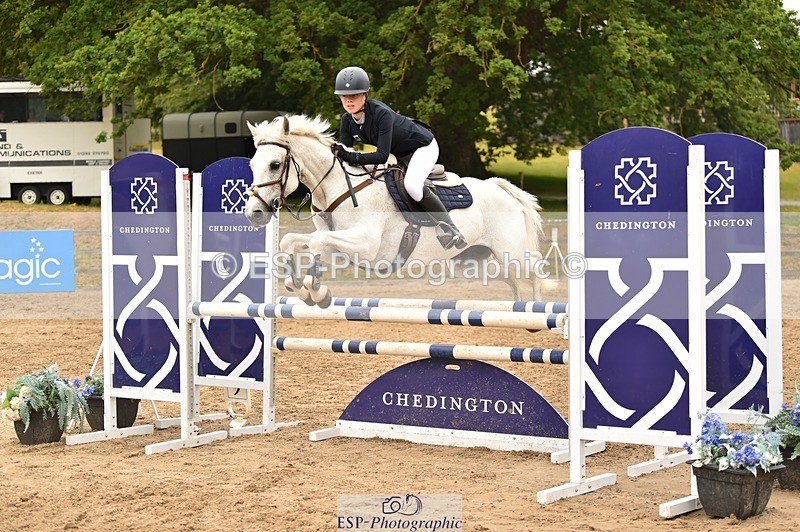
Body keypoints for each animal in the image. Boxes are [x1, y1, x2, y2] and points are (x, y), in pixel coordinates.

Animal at [244, 114, 546, 307]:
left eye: (274, 165)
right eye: (251, 165)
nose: (254, 213)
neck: (338, 188)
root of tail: (501, 188)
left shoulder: (367, 244)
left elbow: (318, 242)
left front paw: (316, 292)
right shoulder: (339, 247)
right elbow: (289, 241)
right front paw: (300, 287)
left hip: (512, 255)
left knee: (533, 272)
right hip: (480, 261)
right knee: (514, 283)